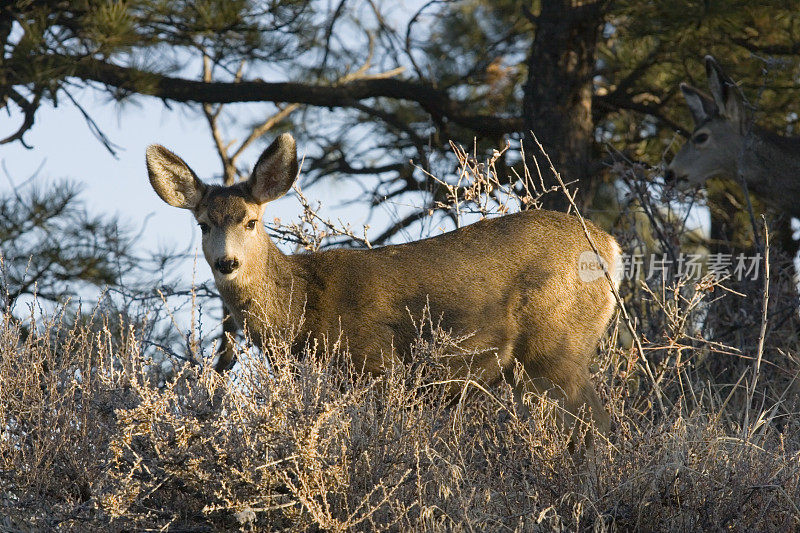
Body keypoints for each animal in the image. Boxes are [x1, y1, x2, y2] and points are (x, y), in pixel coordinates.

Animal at [145, 135, 620, 434]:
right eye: (204, 225)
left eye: (251, 221)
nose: (227, 262)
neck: (302, 307)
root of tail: (611, 248)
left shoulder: (376, 365)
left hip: (558, 342)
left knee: (596, 424)